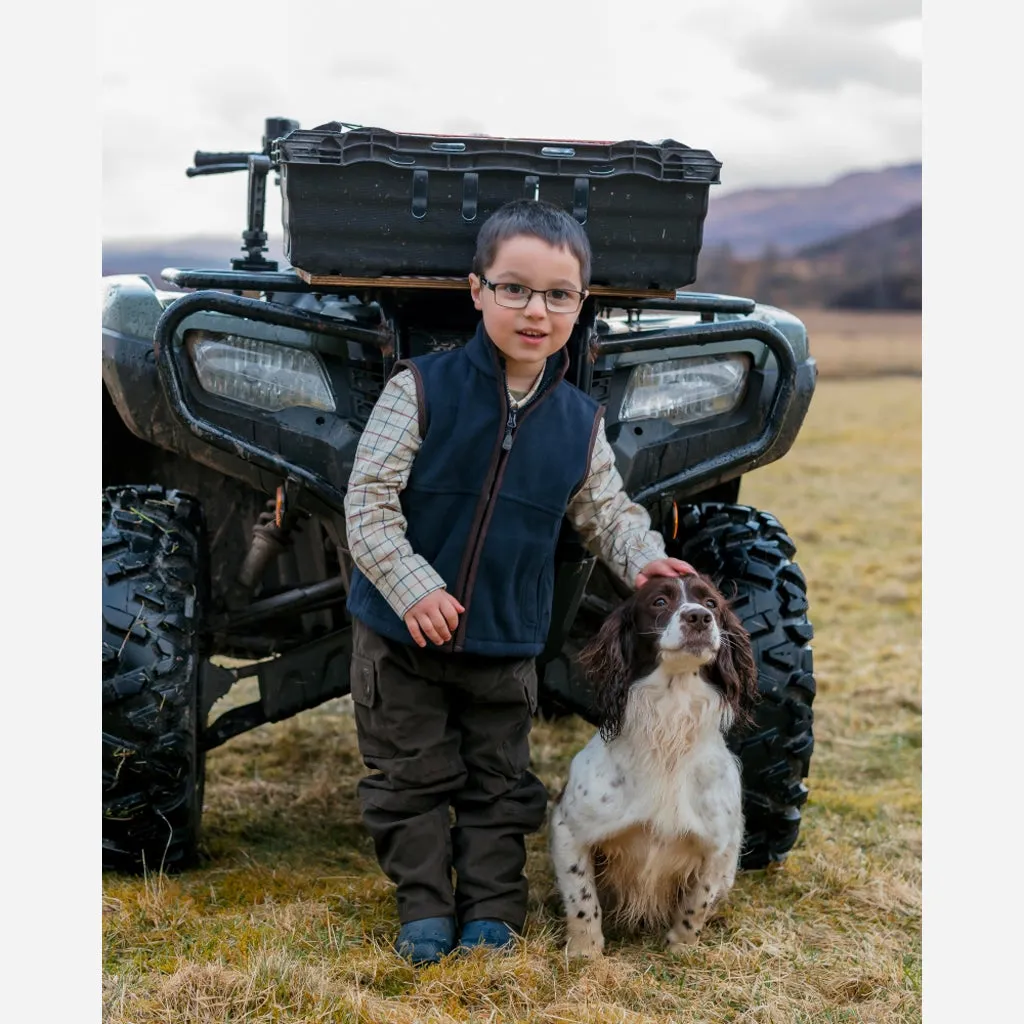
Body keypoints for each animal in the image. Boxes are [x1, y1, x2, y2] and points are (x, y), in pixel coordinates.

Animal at [552, 573, 761, 954]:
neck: (669, 734)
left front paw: (681, 948)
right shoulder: (567, 828)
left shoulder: (720, 846)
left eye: (711, 603)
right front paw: (585, 952)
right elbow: (582, 899)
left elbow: (697, 903)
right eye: (659, 602)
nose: (698, 617)